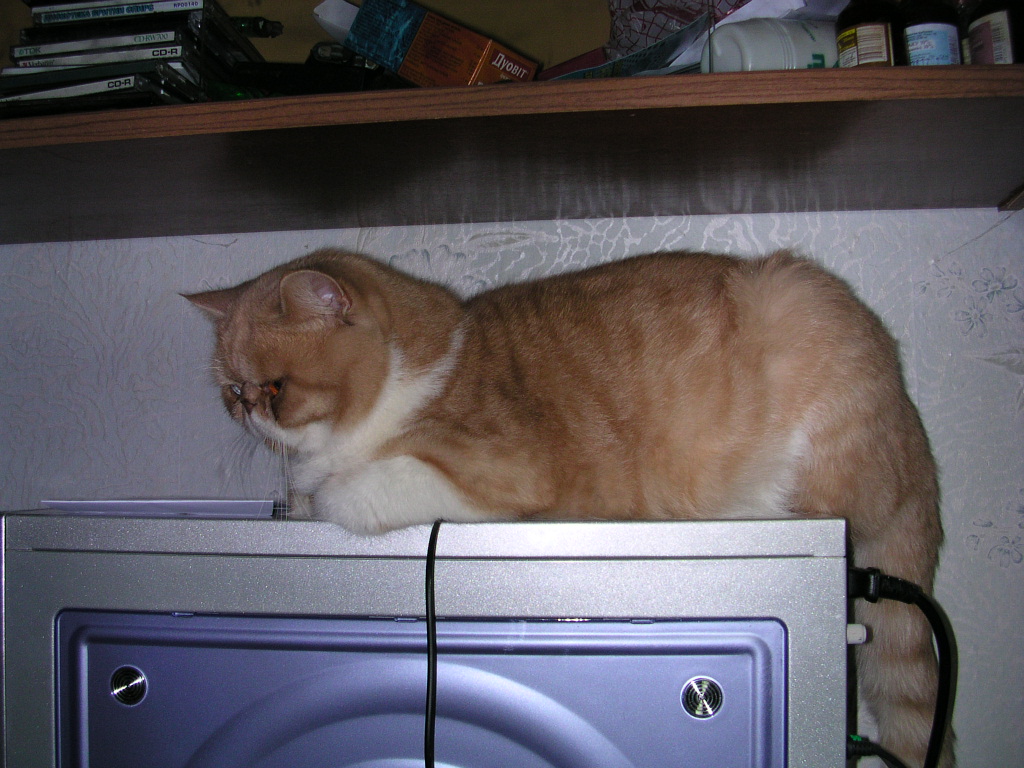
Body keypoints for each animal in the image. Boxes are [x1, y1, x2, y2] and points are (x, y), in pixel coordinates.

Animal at [186, 247, 951, 768]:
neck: (424, 367)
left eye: (275, 388)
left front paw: (322, 494)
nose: (249, 413)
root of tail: (916, 445)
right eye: (230, 394)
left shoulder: (503, 475)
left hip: (800, 332)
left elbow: (359, 487)